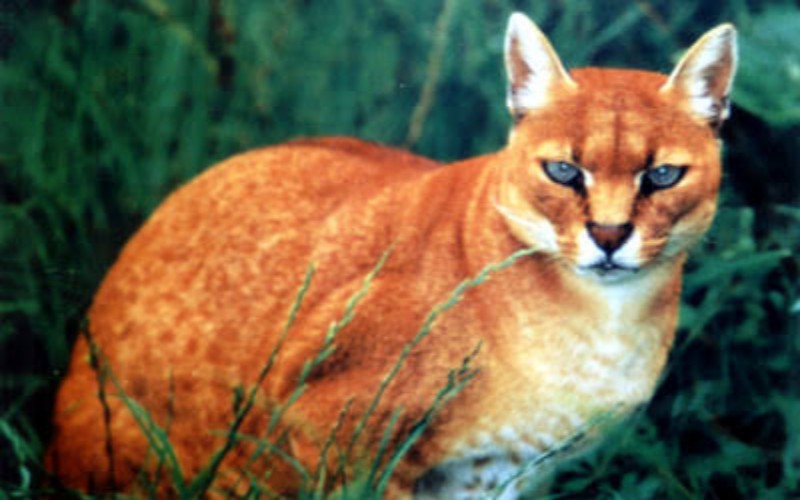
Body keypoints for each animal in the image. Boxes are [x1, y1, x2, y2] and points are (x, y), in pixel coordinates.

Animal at [45, 11, 736, 500]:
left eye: (663, 175)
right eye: (564, 171)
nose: (610, 234)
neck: (603, 323)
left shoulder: (505, 475)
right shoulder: (338, 434)